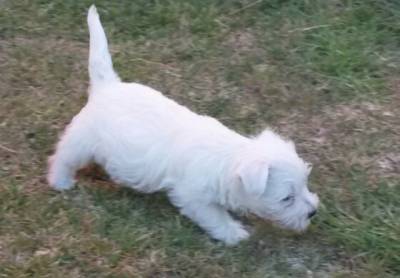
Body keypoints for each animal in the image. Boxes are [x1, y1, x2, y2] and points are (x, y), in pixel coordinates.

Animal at [48, 5, 320, 245]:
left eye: (305, 185)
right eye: (286, 198)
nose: (313, 212)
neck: (229, 158)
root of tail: (108, 87)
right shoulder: (194, 196)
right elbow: (215, 215)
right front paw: (234, 233)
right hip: (83, 140)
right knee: (63, 156)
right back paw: (60, 182)